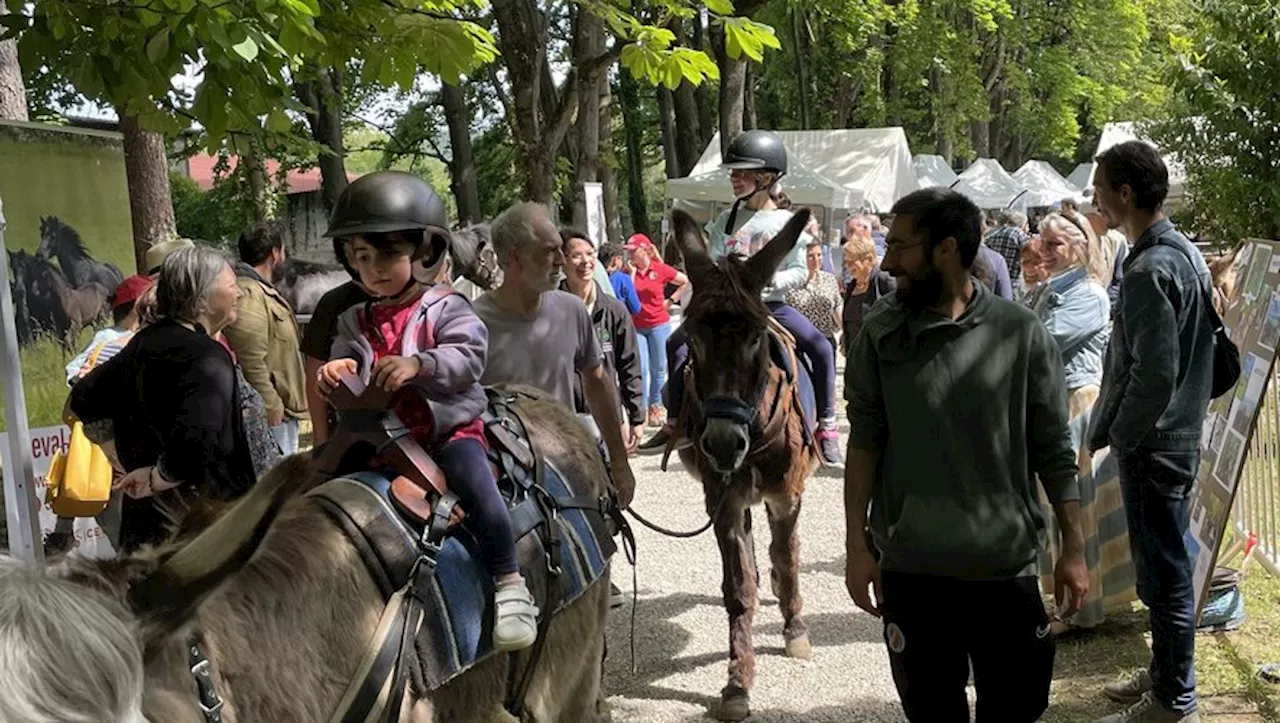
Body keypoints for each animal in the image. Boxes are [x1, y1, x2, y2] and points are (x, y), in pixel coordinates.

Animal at [665, 207, 814, 716]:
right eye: (691, 337)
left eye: (755, 336)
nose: (724, 443)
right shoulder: (723, 500)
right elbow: (738, 588)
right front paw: (737, 681)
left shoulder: (787, 495)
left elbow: (788, 555)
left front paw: (794, 629)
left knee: (783, 549)